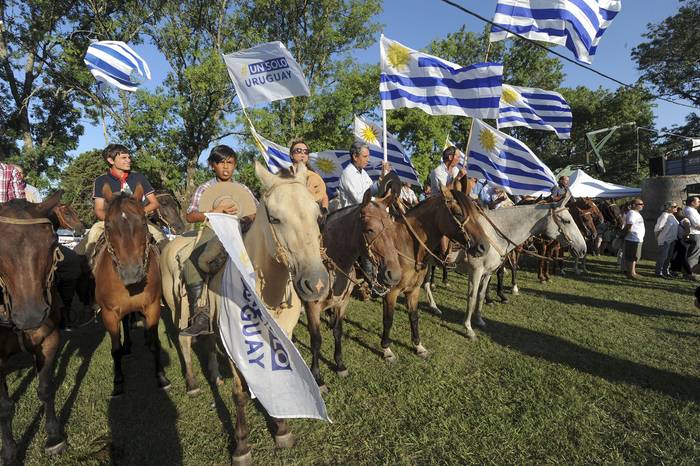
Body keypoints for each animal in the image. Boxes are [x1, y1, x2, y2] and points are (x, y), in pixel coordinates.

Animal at [93, 184, 170, 396]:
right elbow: (115, 349)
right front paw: (118, 381)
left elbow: (155, 344)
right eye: (108, 225)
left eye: (143, 222)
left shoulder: (152, 307)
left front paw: (161, 376)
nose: (131, 273)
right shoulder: (109, 314)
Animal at [161, 162, 330, 464]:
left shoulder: (282, 335)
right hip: (176, 308)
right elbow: (238, 393)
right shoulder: (235, 342)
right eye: (275, 218)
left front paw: (282, 430)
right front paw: (241, 446)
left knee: (206, 337)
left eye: (317, 214)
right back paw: (192, 383)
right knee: (183, 340)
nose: (317, 284)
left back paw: (214, 375)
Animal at [304, 188, 402, 386]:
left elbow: (338, 331)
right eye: (369, 229)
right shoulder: (312, 307)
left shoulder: (342, 303)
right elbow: (316, 340)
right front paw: (317, 376)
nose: (394, 275)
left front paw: (340, 365)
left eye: (391, 227)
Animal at [370, 187, 490, 362]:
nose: (484, 246)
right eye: (458, 213)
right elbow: (388, 320)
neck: (406, 245)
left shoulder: (413, 290)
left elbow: (414, 317)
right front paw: (386, 349)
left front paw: (418, 346)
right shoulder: (391, 292)